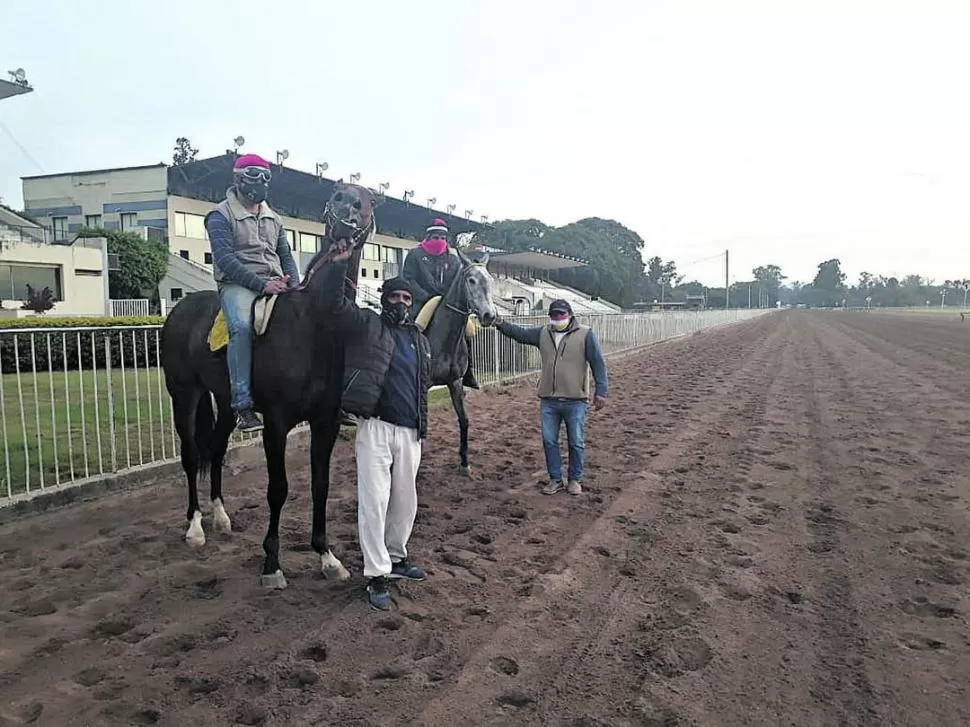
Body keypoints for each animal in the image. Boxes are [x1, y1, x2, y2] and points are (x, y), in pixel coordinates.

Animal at [161, 185, 376, 588]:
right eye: (336, 195)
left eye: (365, 202)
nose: (344, 224)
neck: (314, 324)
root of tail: (181, 308)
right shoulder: (276, 423)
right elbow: (278, 490)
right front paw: (272, 564)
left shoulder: (326, 422)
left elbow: (321, 485)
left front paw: (327, 557)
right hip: (183, 394)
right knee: (191, 455)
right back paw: (195, 527)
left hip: (227, 402)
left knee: (215, 448)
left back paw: (221, 517)